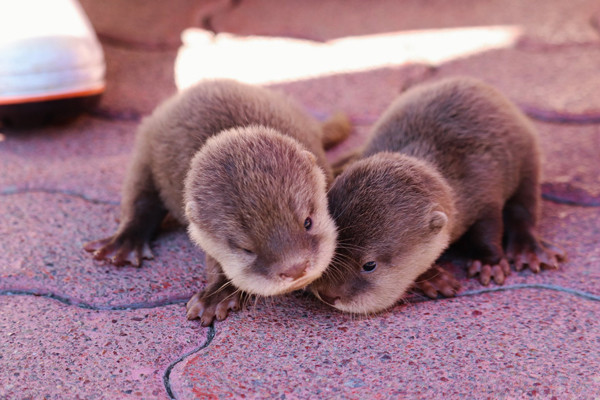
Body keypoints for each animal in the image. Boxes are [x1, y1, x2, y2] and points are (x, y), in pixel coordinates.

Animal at [83, 78, 346, 324]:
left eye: (308, 222)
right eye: (246, 249)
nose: (295, 268)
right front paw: (215, 295)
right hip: (144, 150)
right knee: (139, 198)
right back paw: (124, 245)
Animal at [312, 77, 564, 316]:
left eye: (369, 265)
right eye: (331, 250)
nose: (327, 294)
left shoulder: (484, 193)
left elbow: (489, 228)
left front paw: (489, 263)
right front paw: (433, 278)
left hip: (527, 157)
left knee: (523, 205)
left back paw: (527, 250)